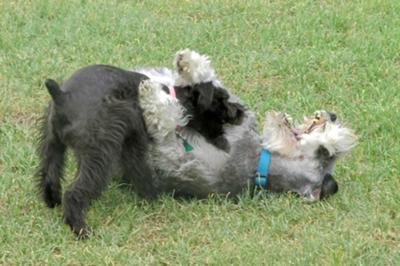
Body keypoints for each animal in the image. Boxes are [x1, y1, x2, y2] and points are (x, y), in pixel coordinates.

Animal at [36, 48, 244, 238]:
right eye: (221, 99)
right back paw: (80, 228)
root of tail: (62, 96)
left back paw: (52, 199)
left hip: (52, 142)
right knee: (74, 192)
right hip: (99, 152)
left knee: (49, 171)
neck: (172, 93)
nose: (238, 112)